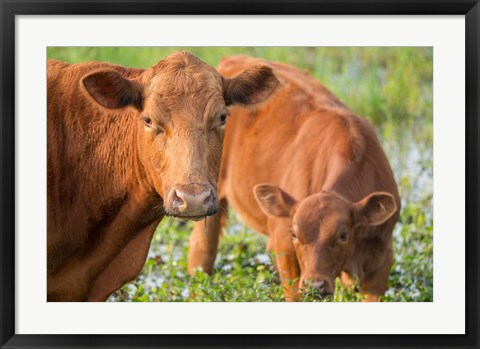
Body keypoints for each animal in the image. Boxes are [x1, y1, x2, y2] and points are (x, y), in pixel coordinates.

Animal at [188, 55, 402, 300]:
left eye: (343, 236)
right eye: (295, 234)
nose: (316, 285)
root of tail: (232, 60)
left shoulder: (382, 257)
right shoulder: (284, 242)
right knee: (202, 249)